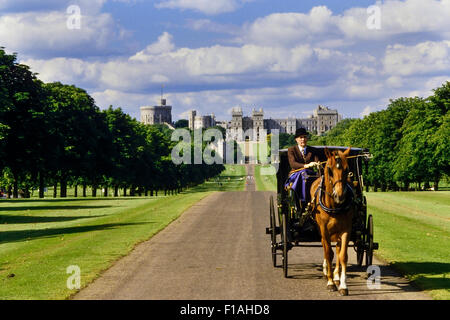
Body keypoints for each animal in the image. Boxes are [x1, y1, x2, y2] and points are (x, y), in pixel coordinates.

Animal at [310, 147, 356, 296]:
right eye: (330, 170)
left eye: (347, 169)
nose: (340, 195)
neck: (335, 206)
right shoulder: (324, 229)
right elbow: (328, 253)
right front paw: (330, 282)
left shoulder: (346, 229)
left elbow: (342, 256)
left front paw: (342, 285)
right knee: (326, 247)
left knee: (337, 248)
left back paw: (336, 276)